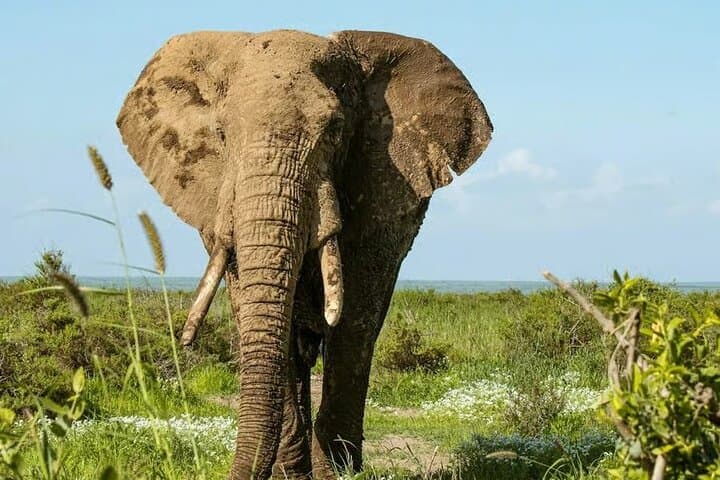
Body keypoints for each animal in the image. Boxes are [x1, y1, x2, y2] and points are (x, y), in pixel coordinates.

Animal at [117, 29, 492, 479]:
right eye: (221, 133)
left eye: (335, 130)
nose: (185, 341)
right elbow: (256, 312)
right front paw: (292, 475)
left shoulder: (379, 192)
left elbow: (353, 322)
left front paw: (338, 472)